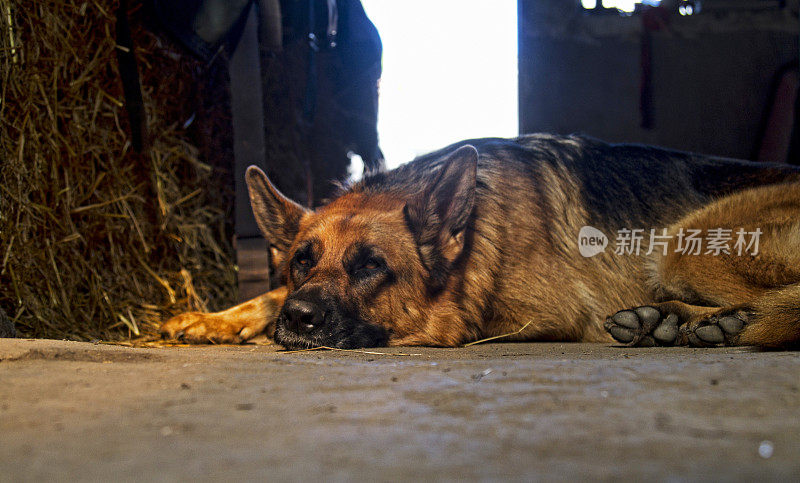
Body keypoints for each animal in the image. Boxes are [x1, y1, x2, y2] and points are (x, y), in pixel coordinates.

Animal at [161, 134, 800, 350]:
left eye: (371, 266)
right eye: (300, 261)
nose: (299, 319)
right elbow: (268, 296)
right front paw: (217, 318)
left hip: (685, 240)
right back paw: (676, 322)